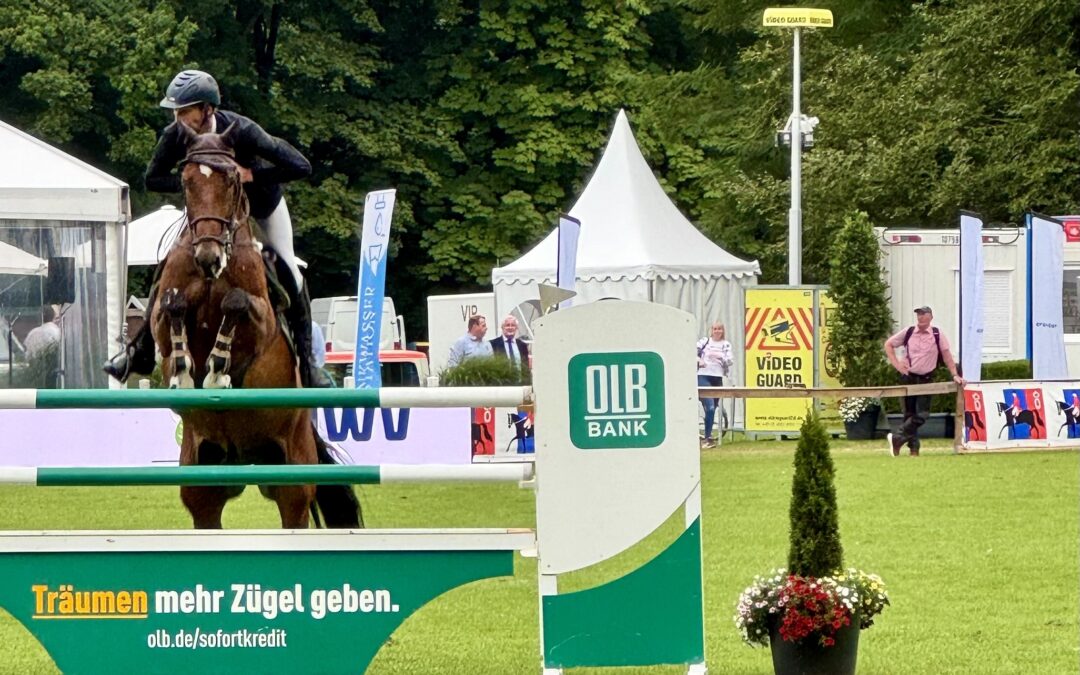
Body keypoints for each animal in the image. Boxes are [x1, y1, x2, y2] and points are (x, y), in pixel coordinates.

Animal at [150, 123, 360, 529]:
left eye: (233, 180)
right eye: (186, 182)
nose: (208, 257)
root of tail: (244, 459)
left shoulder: (262, 325)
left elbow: (236, 304)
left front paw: (217, 372)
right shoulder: (160, 322)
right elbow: (172, 308)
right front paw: (183, 371)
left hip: (294, 478)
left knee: (295, 513)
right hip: (203, 480)